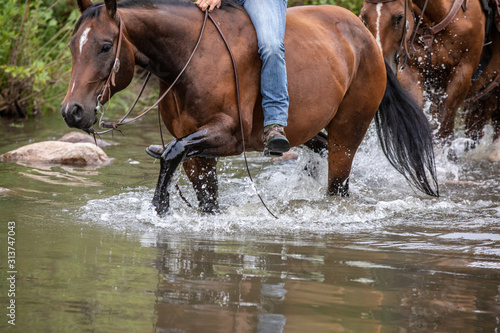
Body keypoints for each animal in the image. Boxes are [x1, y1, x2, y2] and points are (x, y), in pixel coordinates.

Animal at [61, 0, 438, 214]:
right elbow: (202, 193)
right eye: (73, 45)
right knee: (319, 146)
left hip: (349, 132)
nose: (72, 111)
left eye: (105, 46)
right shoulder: (197, 152)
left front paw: (160, 209)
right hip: (308, 130)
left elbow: (170, 154)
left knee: (338, 182)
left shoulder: (226, 135)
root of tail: (364, 37)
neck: (192, 57)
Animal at [362, 0, 486, 141]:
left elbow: (443, 126)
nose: (382, 69)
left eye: (399, 17)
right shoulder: (412, 73)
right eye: (364, 18)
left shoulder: (462, 72)